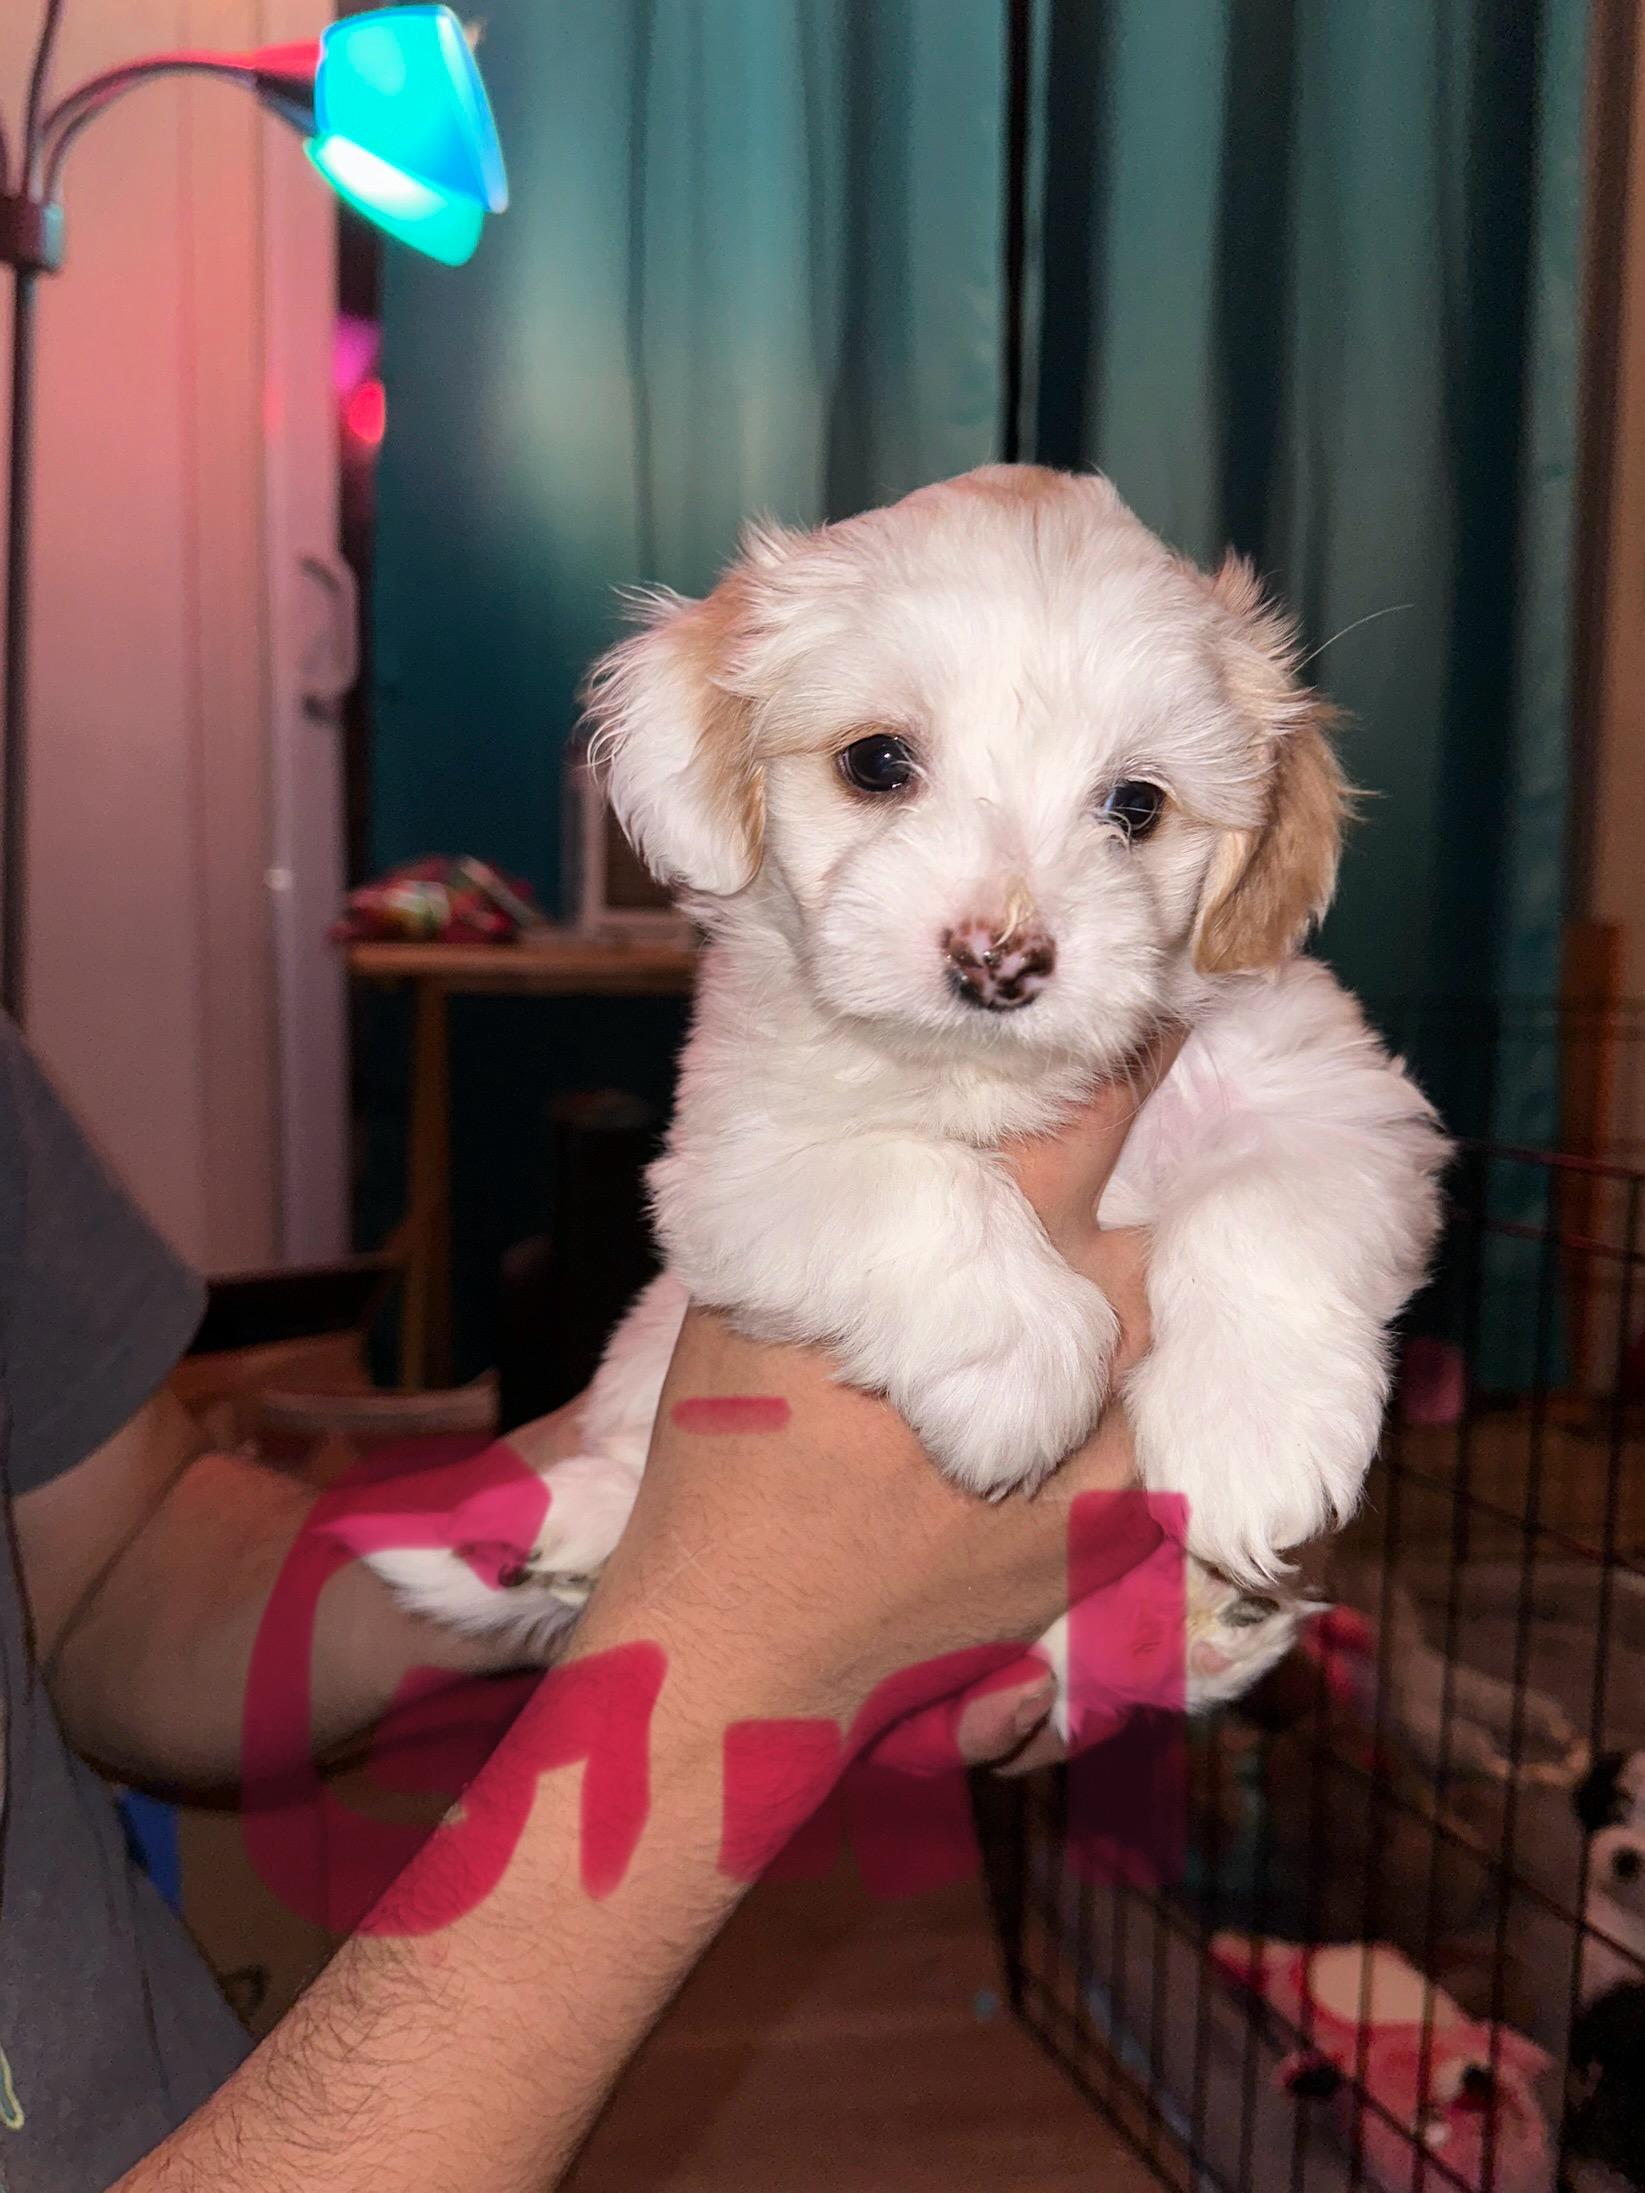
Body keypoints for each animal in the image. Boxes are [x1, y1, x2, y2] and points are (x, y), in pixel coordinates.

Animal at [370, 458, 1438, 1657]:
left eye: (1136, 805)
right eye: (876, 762)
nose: (999, 957)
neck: (996, 1079)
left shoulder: (1327, 1095)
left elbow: (1264, 1207)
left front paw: (1250, 1429)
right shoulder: (735, 1165)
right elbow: (914, 1185)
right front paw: (1027, 1366)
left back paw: (1208, 1620)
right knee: (617, 1451)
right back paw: (566, 1535)